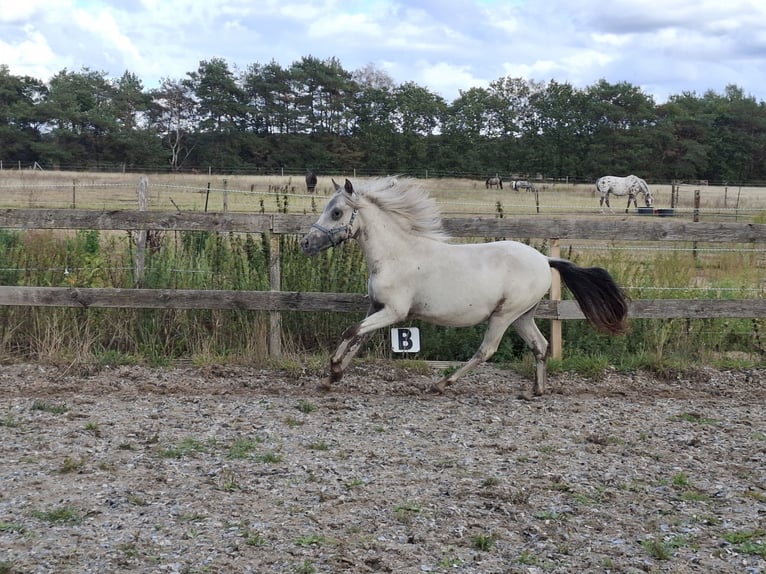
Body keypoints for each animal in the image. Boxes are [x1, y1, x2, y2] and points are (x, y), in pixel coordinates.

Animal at [300, 177, 629, 397]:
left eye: (337, 212)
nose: (305, 243)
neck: (396, 255)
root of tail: (544, 259)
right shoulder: (377, 307)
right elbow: (358, 338)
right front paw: (332, 377)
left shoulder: (394, 312)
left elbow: (351, 331)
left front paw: (333, 370)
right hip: (523, 315)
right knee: (541, 345)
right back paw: (536, 390)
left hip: (504, 315)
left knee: (487, 351)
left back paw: (440, 384)